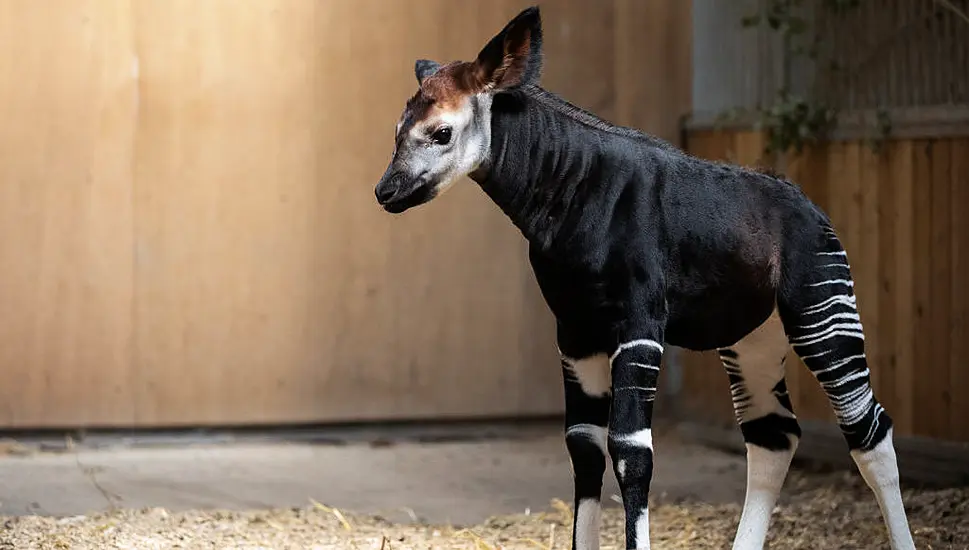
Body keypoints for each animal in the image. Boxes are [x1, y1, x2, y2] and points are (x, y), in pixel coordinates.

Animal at [372, 5, 916, 550]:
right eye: (397, 129)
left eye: (441, 132)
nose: (384, 192)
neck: (570, 192)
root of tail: (814, 209)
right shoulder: (576, 332)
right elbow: (584, 447)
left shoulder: (638, 325)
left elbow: (631, 452)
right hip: (754, 338)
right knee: (774, 436)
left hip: (822, 314)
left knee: (868, 431)